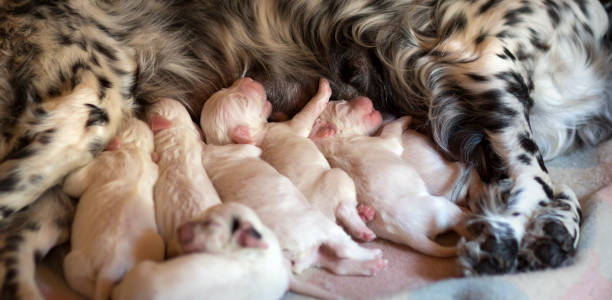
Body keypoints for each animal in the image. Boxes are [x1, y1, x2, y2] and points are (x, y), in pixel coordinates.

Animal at [61, 118, 165, 300]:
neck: (135, 148)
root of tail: (109, 269)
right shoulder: (153, 169)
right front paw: (156, 156)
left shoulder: (102, 162)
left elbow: (72, 184)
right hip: (156, 247)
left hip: (77, 262)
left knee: (78, 279)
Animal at [314, 98, 466, 258]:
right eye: (342, 105)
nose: (365, 98)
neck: (335, 142)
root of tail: (409, 235)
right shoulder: (386, 141)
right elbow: (391, 127)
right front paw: (406, 118)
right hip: (443, 207)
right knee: (458, 221)